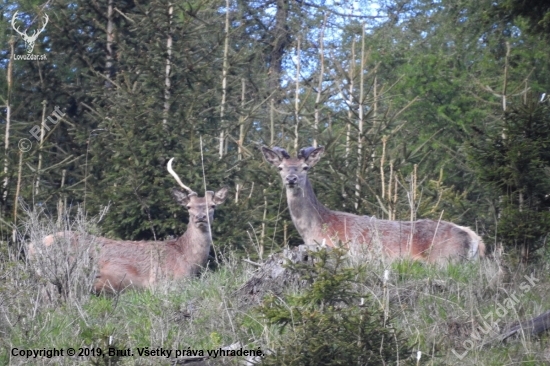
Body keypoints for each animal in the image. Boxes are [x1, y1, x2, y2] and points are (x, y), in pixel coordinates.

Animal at [33, 159, 229, 294]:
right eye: (188, 207)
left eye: (212, 206)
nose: (200, 217)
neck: (185, 257)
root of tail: (36, 244)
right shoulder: (161, 284)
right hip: (54, 278)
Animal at [264, 146, 488, 264]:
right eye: (280, 167)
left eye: (305, 167)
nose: (291, 179)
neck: (317, 228)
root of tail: (474, 238)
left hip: (445, 258)